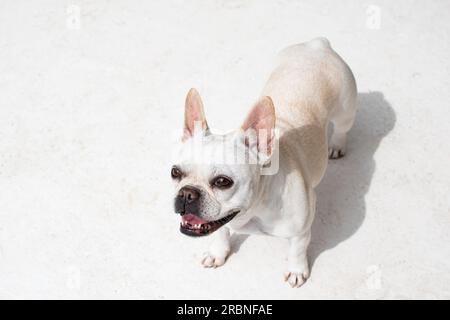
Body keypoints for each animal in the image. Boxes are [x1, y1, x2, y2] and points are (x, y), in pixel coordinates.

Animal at [171, 37, 356, 288]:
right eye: (175, 173)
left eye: (222, 181)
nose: (187, 193)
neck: (254, 210)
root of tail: (317, 45)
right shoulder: (217, 221)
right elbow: (220, 233)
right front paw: (217, 253)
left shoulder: (300, 232)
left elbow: (297, 250)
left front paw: (296, 270)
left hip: (346, 109)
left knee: (342, 128)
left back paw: (337, 144)